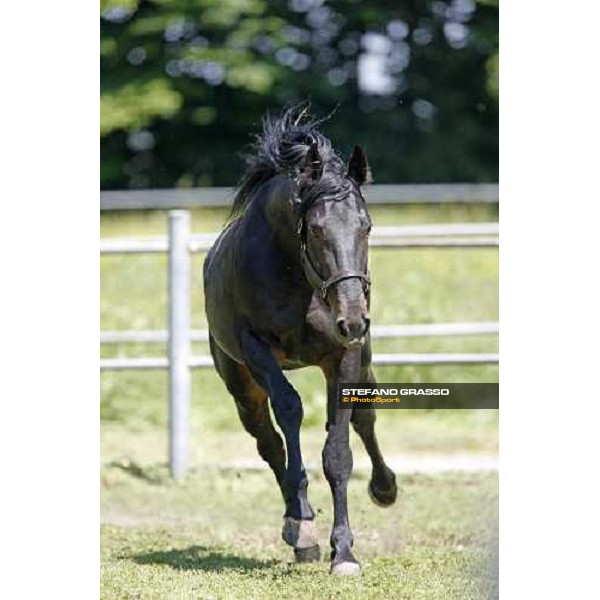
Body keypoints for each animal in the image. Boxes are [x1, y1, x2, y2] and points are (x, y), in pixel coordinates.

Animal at [204, 108, 396, 576]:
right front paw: (304, 524)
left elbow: (338, 452)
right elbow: (290, 412)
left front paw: (344, 553)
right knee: (270, 442)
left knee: (365, 418)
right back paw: (300, 527)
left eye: (366, 227)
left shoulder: (344, 355)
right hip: (242, 385)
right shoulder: (256, 348)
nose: (352, 319)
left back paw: (384, 487)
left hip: (361, 358)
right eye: (317, 229)